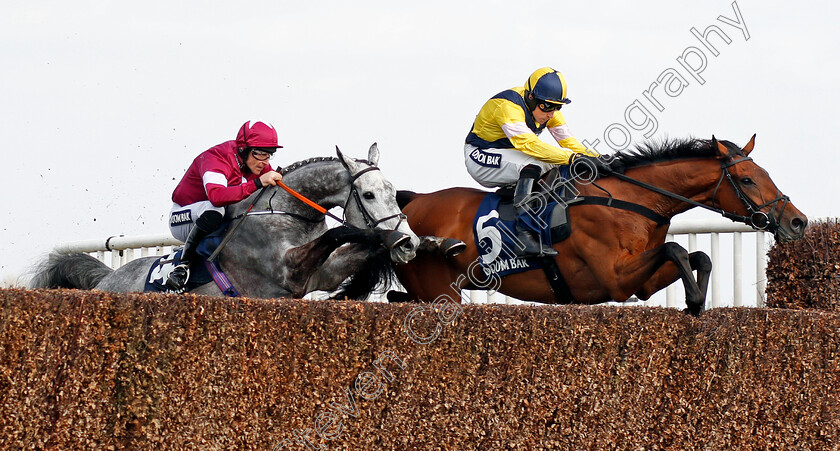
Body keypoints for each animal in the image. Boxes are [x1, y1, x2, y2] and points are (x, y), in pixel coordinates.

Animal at [32, 145, 430, 300]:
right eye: (368, 195)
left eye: (393, 192)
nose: (408, 241)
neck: (285, 211)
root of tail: (105, 280)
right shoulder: (289, 270)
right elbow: (346, 230)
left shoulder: (320, 275)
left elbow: (352, 248)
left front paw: (395, 244)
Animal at [394, 136, 808, 316]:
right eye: (748, 180)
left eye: (764, 174)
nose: (797, 221)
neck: (630, 200)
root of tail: (414, 201)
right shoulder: (613, 279)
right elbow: (675, 248)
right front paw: (692, 300)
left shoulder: (640, 283)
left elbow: (698, 255)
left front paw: (696, 303)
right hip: (438, 291)